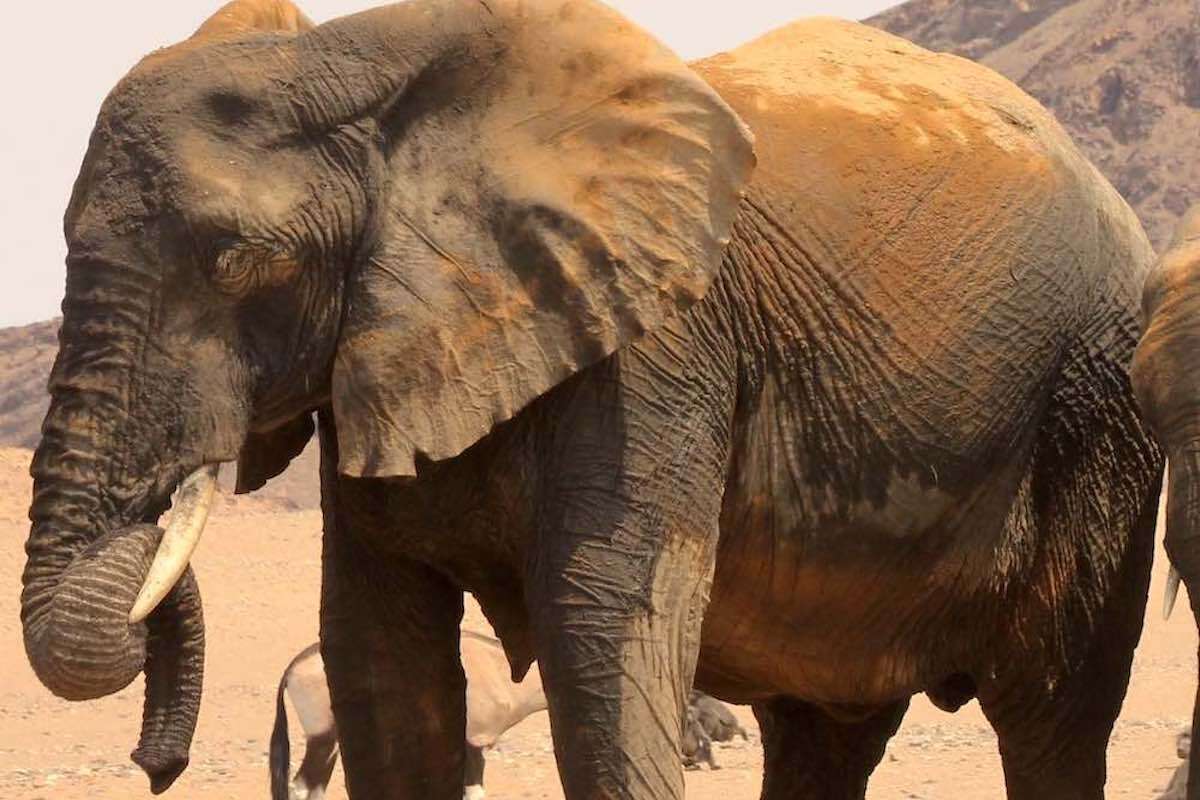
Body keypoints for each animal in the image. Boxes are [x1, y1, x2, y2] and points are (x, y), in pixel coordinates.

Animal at [16, 1, 1161, 800]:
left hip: (1094, 409)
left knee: (1051, 717)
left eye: (238, 259)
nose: (154, 767)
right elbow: (381, 657)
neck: (370, 63)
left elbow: (602, 628)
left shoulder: (656, 346)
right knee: (826, 730)